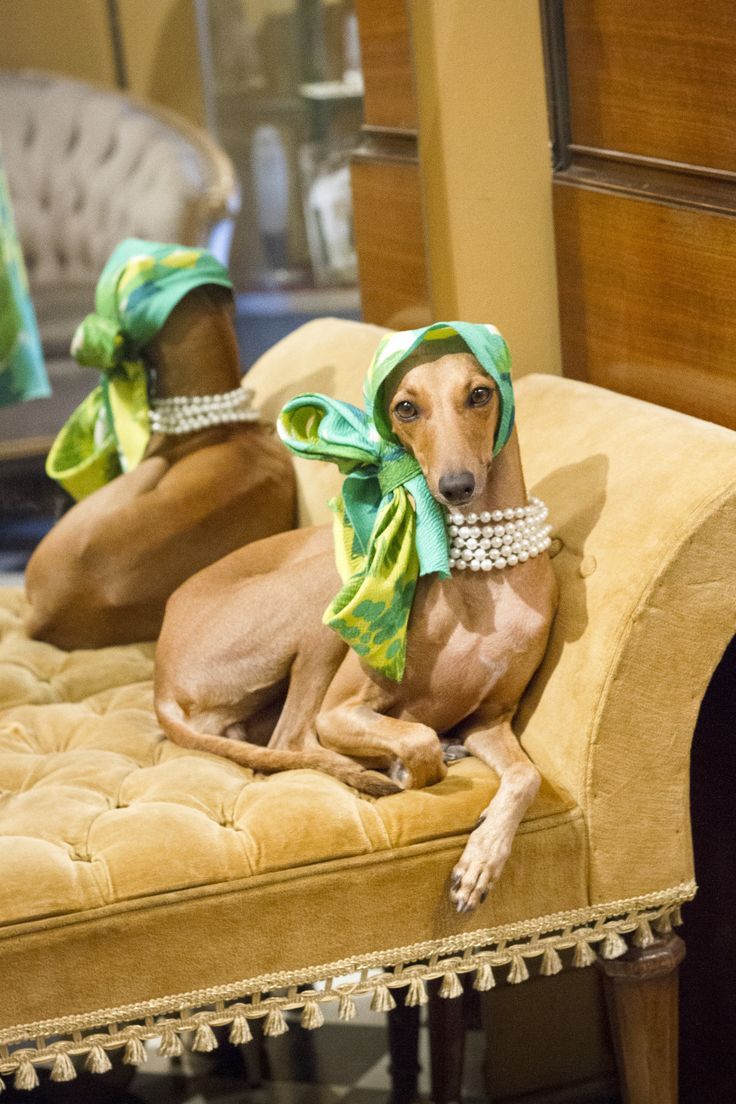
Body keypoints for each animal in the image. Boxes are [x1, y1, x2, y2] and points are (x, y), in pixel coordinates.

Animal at [155, 348, 558, 909]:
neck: (479, 582)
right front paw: (407, 765)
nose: (456, 487)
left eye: (480, 393)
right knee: (291, 740)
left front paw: (482, 859)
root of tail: (160, 678)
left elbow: (526, 775)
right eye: (406, 407)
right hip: (325, 597)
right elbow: (416, 740)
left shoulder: (491, 719)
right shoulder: (341, 709)